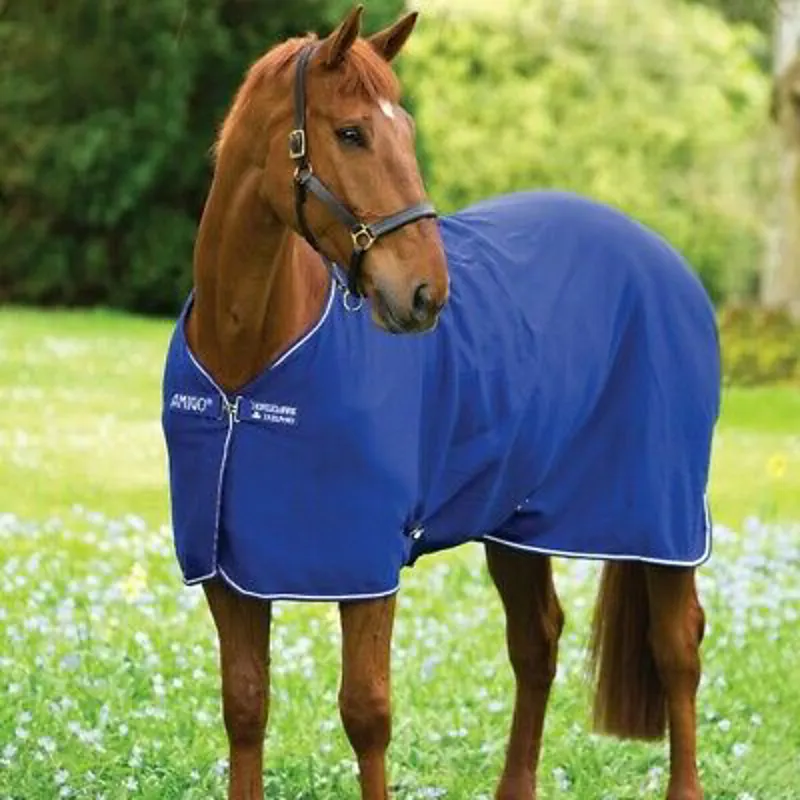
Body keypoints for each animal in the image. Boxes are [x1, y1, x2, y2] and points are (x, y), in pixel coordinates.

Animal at [161, 7, 718, 800]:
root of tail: (664, 257)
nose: (426, 293)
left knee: (677, 647)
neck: (249, 364)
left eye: (407, 130)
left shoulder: (364, 567)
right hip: (517, 522)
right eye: (352, 132)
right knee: (537, 643)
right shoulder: (227, 573)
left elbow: (365, 713)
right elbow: (244, 705)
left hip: (660, 522)